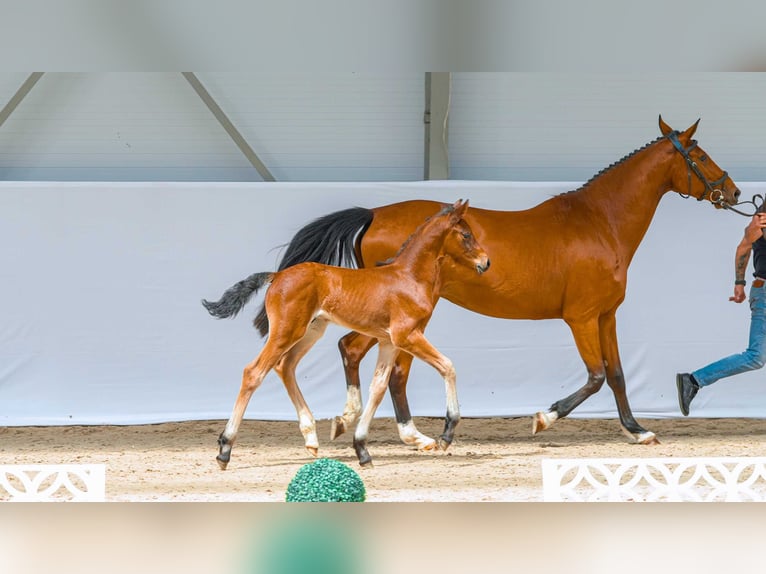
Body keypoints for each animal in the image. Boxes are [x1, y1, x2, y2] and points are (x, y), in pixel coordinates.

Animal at [202, 199, 490, 467]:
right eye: (466, 235)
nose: (486, 262)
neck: (408, 276)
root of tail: (277, 275)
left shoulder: (388, 341)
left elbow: (378, 387)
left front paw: (362, 449)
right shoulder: (407, 335)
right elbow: (448, 366)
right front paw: (446, 434)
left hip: (311, 330)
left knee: (285, 365)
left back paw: (311, 438)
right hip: (286, 331)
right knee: (253, 372)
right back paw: (225, 449)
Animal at [255, 116, 741, 449]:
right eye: (699, 154)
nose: (734, 192)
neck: (600, 223)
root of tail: (373, 213)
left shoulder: (606, 315)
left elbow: (618, 375)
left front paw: (637, 430)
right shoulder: (580, 317)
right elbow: (596, 376)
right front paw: (543, 418)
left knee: (358, 354)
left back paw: (355, 422)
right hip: (402, 321)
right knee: (384, 366)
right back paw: (411, 434)